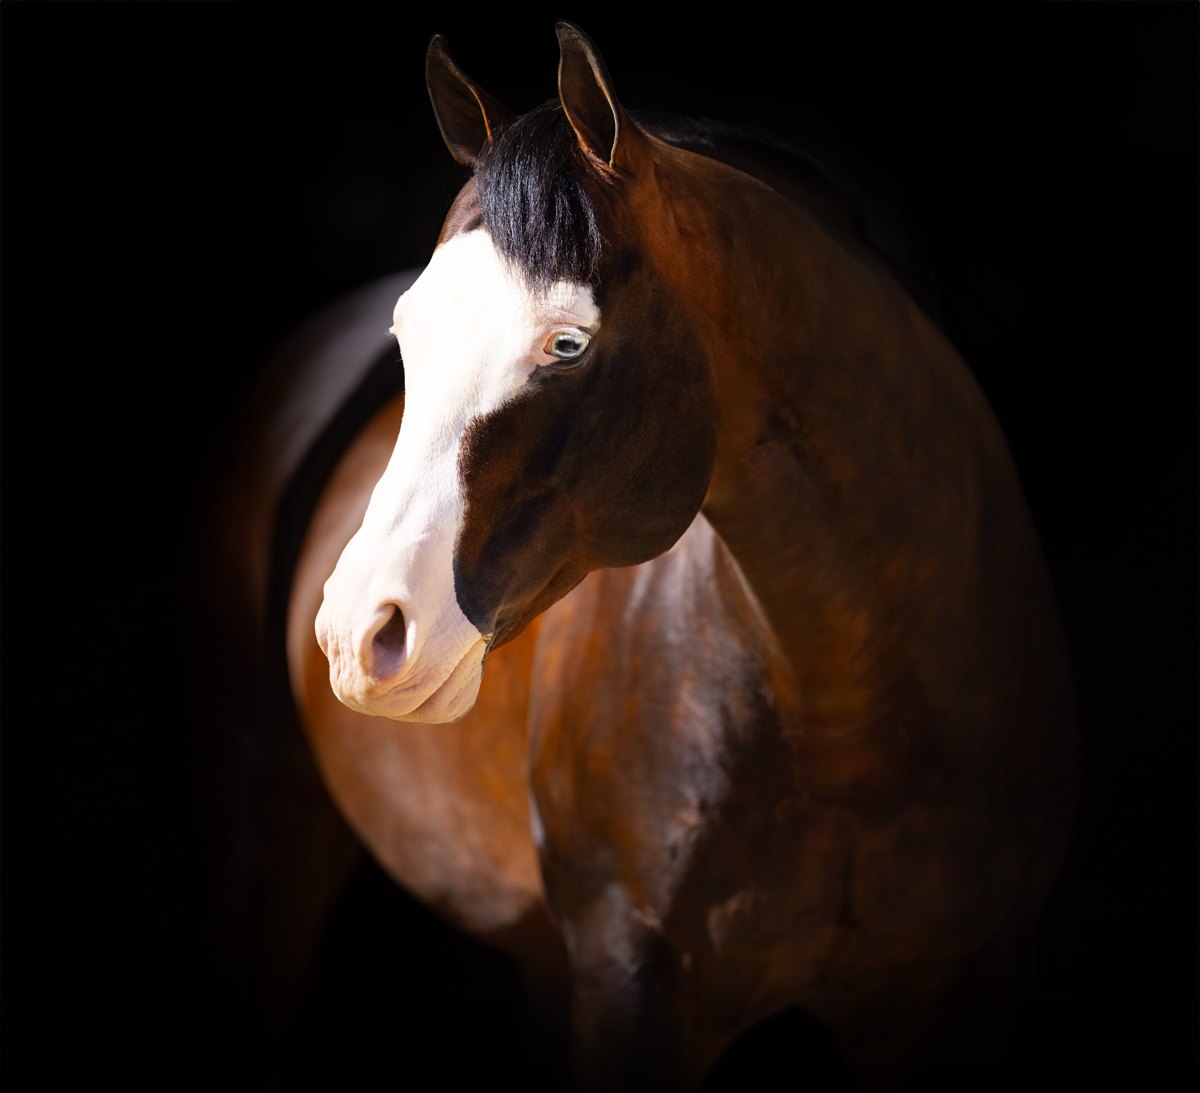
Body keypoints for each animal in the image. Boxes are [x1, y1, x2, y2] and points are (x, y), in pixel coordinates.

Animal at [214, 21, 1077, 1093]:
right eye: (408, 332)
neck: (854, 723)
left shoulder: (961, 992)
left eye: (567, 344)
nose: (356, 630)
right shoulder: (635, 985)